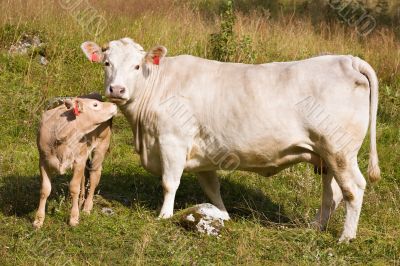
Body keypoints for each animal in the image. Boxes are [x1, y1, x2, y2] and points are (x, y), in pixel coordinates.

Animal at [33, 94, 117, 229]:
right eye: (95, 105)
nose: (113, 104)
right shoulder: (43, 160)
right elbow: (45, 189)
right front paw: (38, 220)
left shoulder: (78, 161)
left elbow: (74, 188)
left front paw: (74, 218)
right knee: (84, 177)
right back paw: (81, 201)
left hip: (101, 146)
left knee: (94, 175)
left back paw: (87, 207)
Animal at [82, 38, 382, 242]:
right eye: (107, 63)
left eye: (136, 66)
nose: (117, 89)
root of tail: (348, 59)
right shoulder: (202, 154)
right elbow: (212, 189)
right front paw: (223, 215)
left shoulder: (172, 141)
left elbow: (169, 183)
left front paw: (164, 216)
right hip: (326, 155)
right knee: (331, 194)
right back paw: (316, 226)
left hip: (340, 150)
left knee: (353, 189)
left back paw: (346, 237)